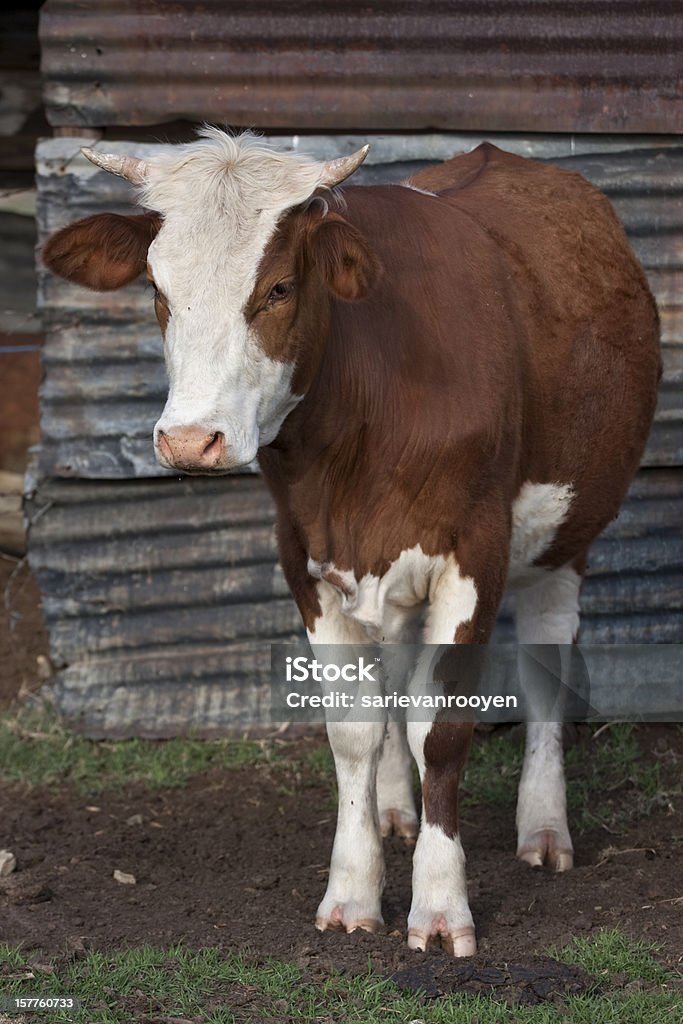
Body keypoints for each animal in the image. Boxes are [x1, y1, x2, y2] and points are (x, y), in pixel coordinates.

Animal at [42, 125, 663, 950]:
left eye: (277, 288)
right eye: (158, 290)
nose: (189, 441)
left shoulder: (476, 550)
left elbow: (443, 730)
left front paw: (440, 906)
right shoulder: (303, 555)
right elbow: (352, 730)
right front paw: (353, 889)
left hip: (568, 531)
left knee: (544, 664)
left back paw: (543, 827)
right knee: (395, 667)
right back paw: (397, 807)